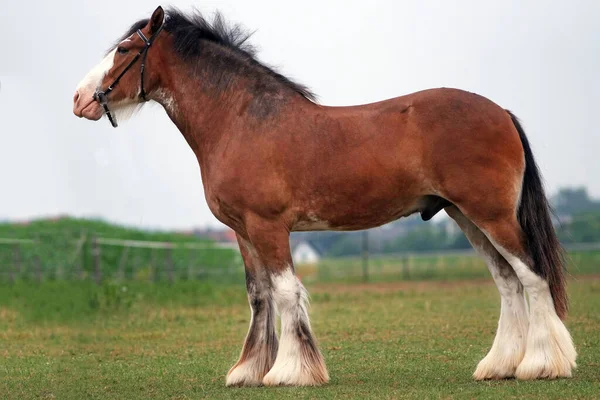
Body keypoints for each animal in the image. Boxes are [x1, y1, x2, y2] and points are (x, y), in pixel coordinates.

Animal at [74, 6, 576, 386]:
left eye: (125, 49)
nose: (80, 99)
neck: (241, 120)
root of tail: (501, 113)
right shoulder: (242, 232)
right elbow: (259, 295)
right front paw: (249, 371)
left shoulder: (268, 226)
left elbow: (285, 291)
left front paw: (289, 372)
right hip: (466, 217)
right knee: (507, 282)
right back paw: (499, 365)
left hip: (492, 215)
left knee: (531, 276)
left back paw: (541, 364)